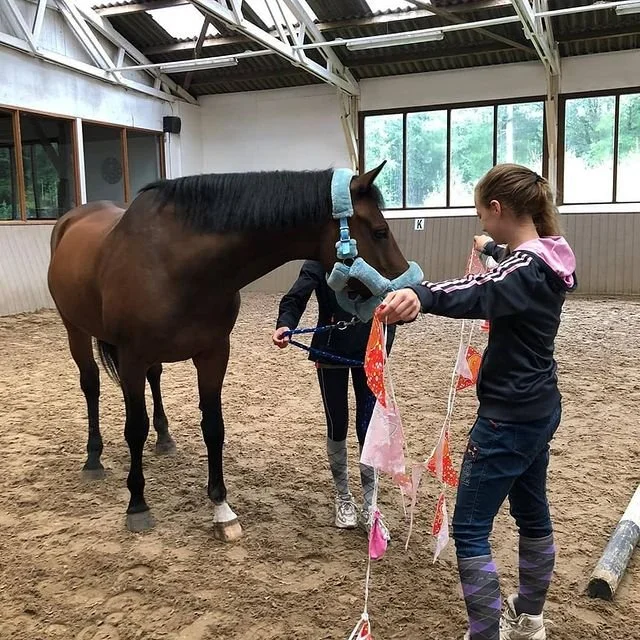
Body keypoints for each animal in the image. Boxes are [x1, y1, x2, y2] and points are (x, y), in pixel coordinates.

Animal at [47, 163, 416, 541]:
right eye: (380, 231)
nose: (408, 292)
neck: (175, 263)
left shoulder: (213, 354)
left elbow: (214, 427)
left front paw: (221, 508)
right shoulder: (131, 357)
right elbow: (134, 428)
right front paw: (137, 504)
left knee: (156, 378)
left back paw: (164, 439)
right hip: (75, 330)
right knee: (91, 385)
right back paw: (93, 459)